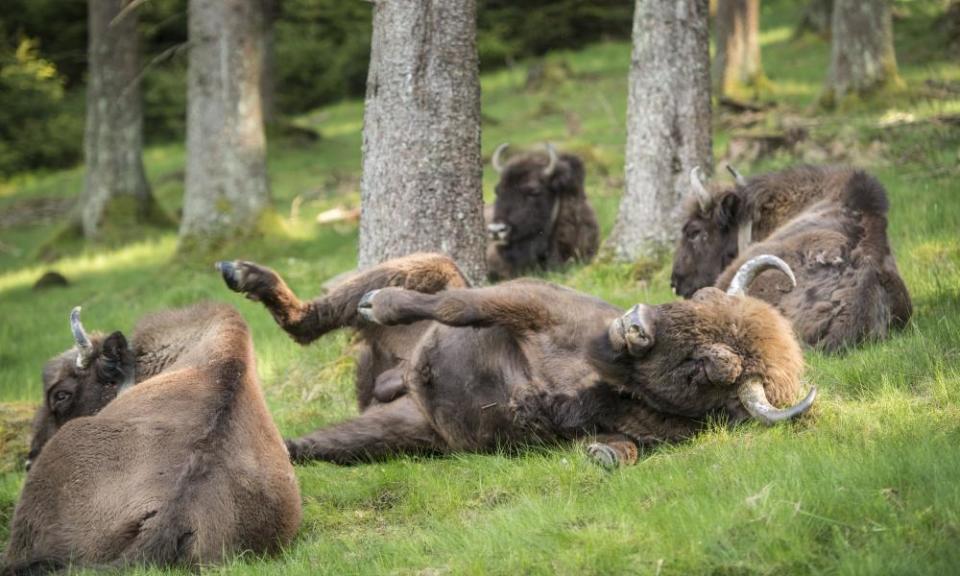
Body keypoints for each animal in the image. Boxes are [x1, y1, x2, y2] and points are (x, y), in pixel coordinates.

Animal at [219, 252, 816, 468]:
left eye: (714, 365)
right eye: (698, 299)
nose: (635, 324)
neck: (599, 375)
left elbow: (624, 448)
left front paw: (603, 454)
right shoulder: (529, 304)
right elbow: (462, 305)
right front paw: (384, 303)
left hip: (407, 429)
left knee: (308, 445)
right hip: (424, 267)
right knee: (308, 321)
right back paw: (244, 274)